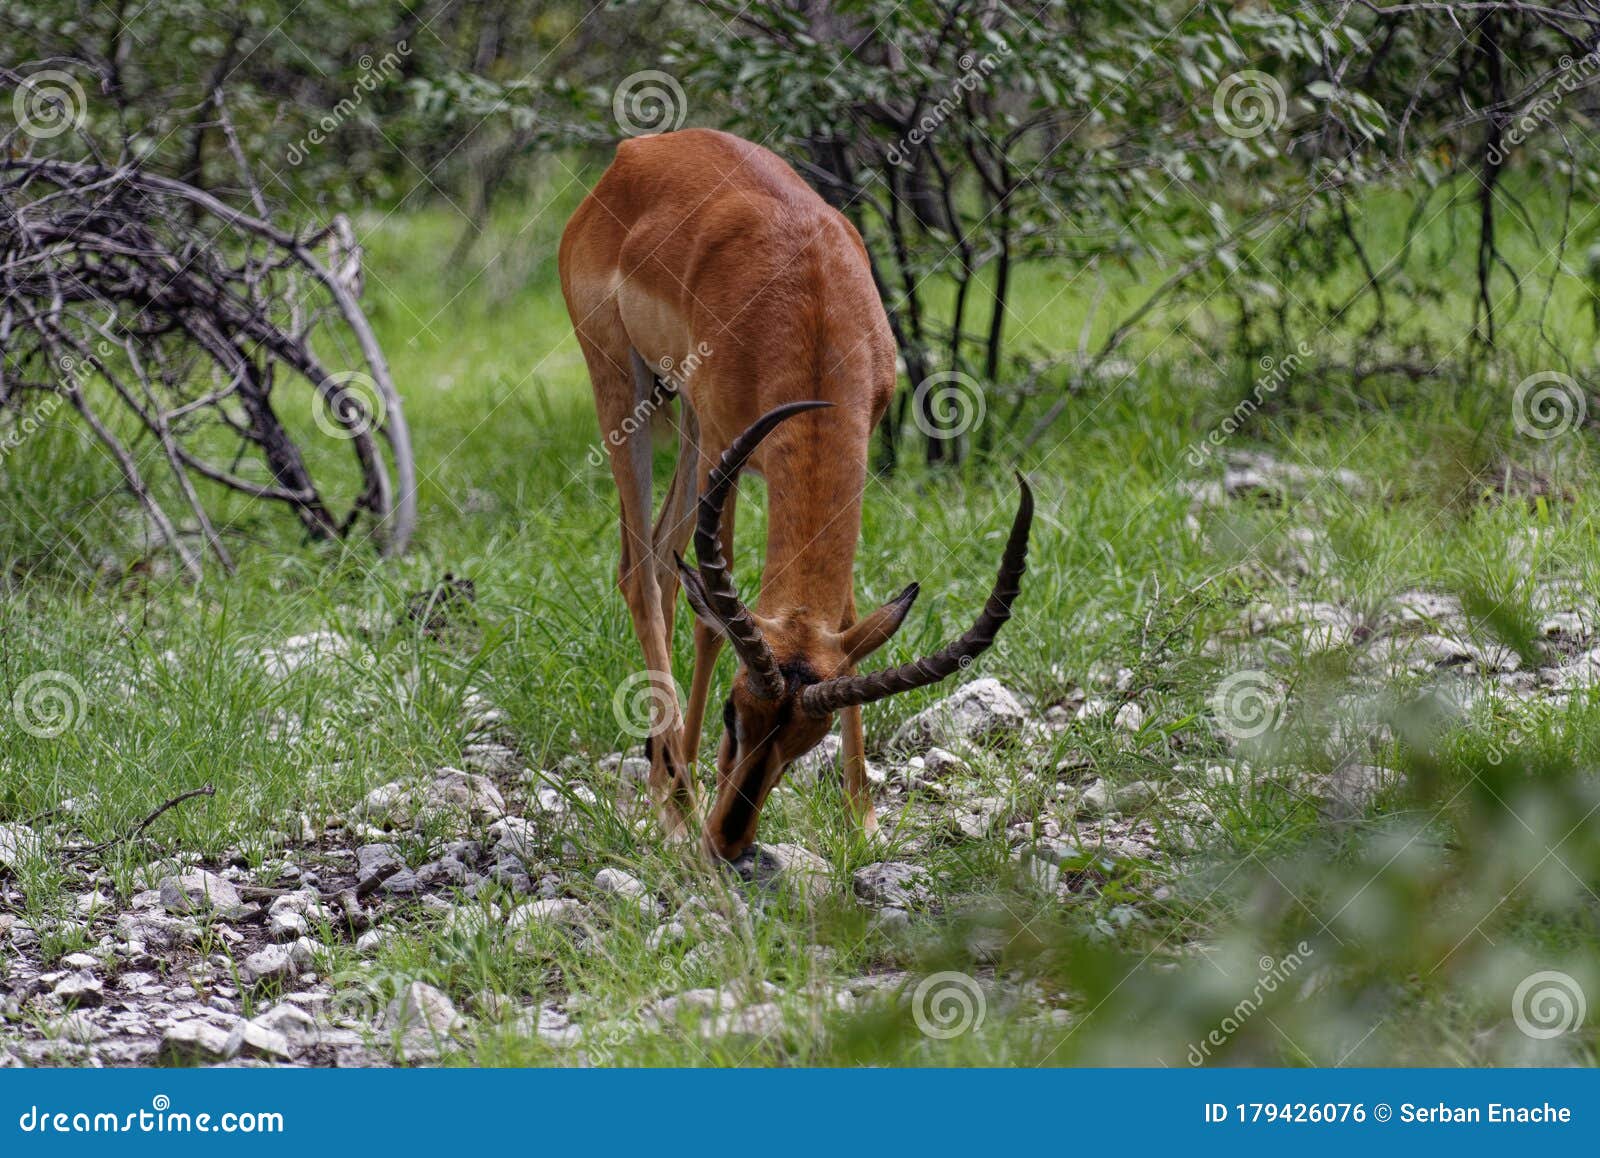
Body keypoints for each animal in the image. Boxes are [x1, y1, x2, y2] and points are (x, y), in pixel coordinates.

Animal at [558, 128, 1033, 861]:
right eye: (734, 713)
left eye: (806, 742)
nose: (729, 841)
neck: (810, 300)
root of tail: (636, 151)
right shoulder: (726, 443)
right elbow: (712, 616)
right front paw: (688, 809)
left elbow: (847, 614)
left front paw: (863, 817)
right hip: (625, 388)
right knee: (641, 572)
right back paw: (675, 798)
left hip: (687, 424)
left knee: (662, 563)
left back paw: (669, 783)